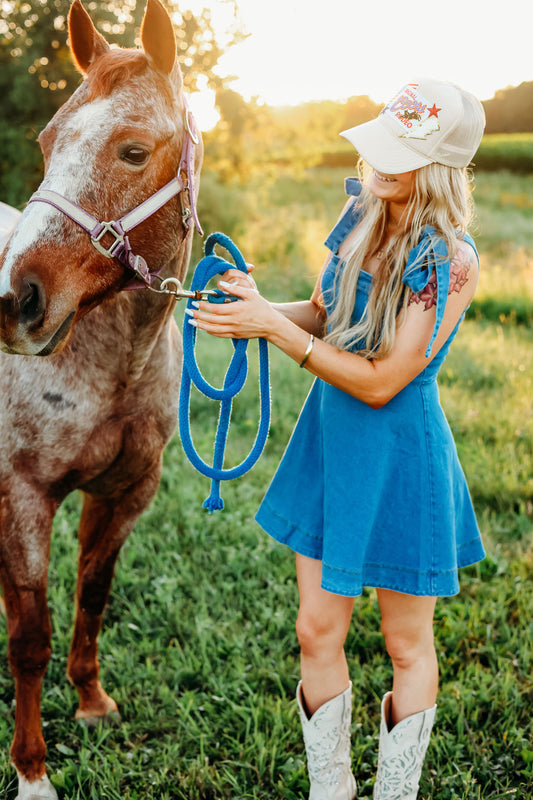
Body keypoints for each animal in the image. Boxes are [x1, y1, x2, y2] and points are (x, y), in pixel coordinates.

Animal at [0, 3, 203, 796]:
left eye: (133, 151)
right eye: (47, 142)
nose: (14, 302)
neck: (113, 363)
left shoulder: (126, 490)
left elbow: (93, 592)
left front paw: (90, 701)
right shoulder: (23, 497)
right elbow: (30, 637)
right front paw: (32, 771)